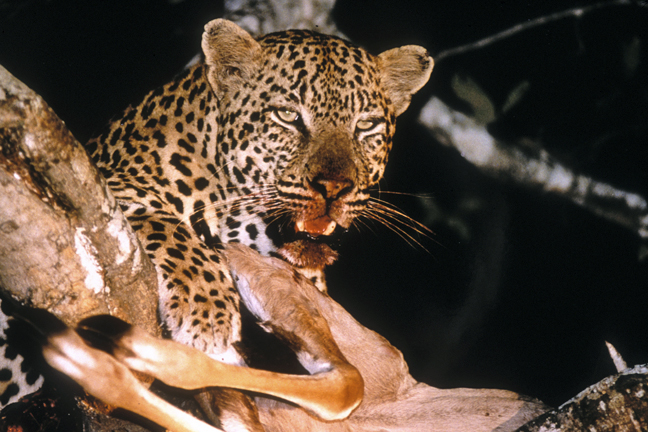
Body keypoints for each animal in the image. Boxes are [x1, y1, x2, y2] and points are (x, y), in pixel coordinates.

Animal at [3, 17, 436, 432]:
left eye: (366, 126)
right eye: (288, 116)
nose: (334, 188)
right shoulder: (105, 190)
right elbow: (165, 223)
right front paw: (206, 311)